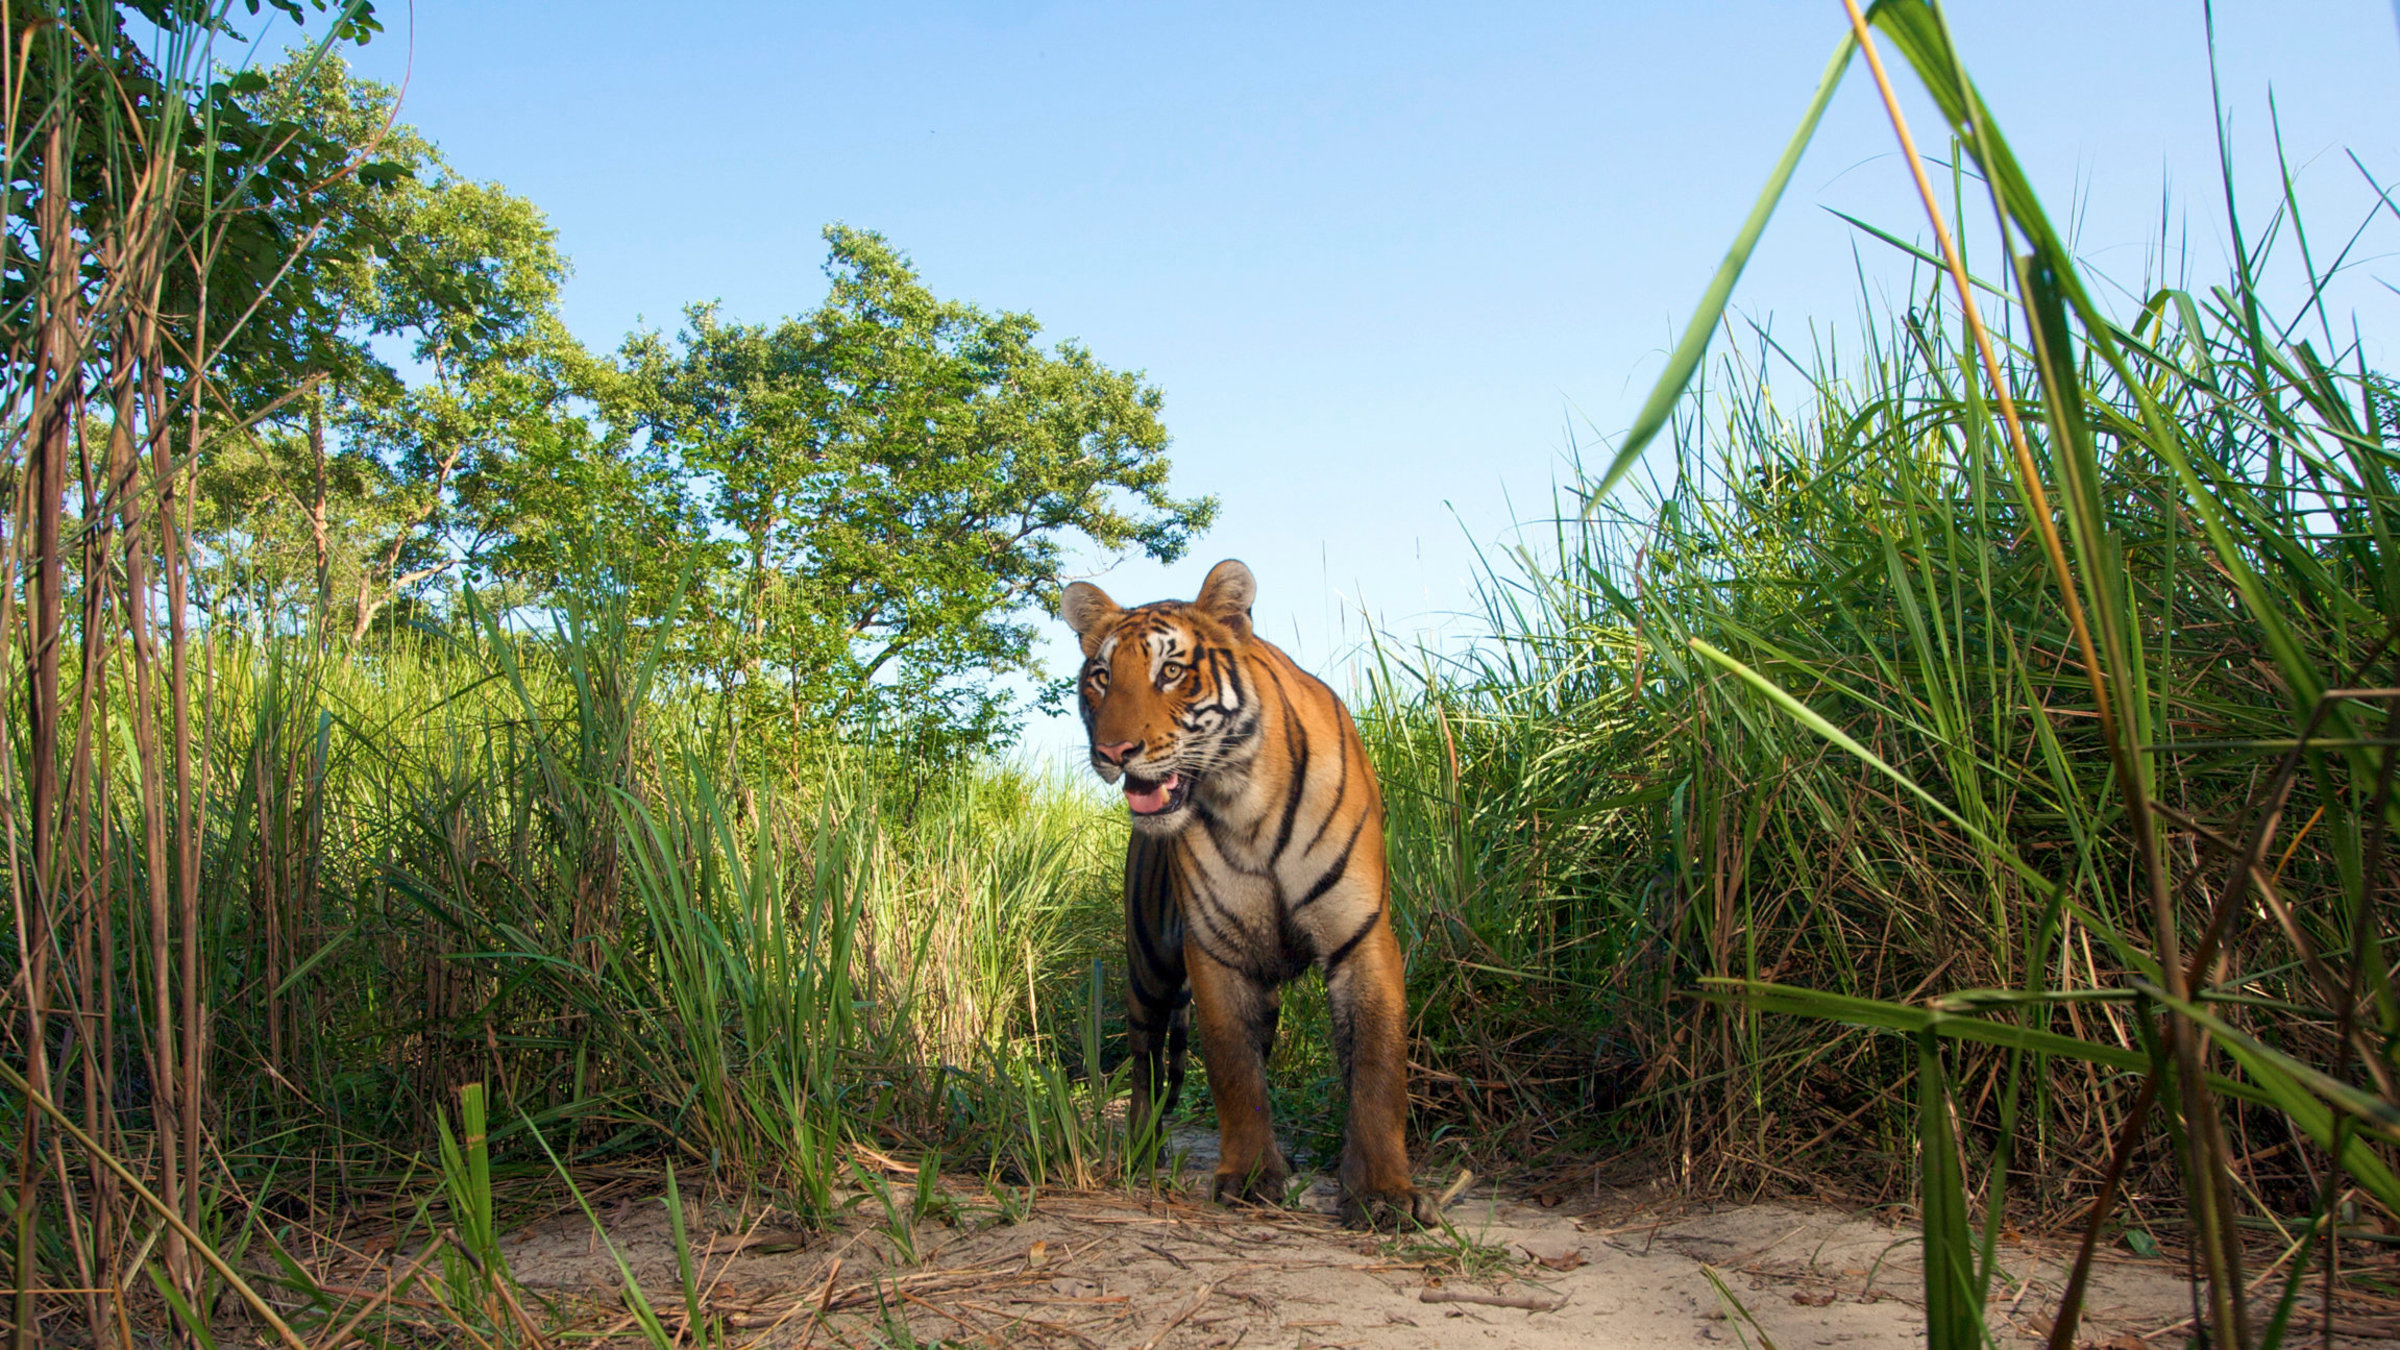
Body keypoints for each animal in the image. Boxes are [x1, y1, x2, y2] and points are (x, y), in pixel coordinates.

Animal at [1060, 552, 1430, 1225]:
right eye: (1100, 677)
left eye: (1171, 670)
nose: (1113, 751)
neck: (1244, 801)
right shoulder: (1215, 948)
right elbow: (1233, 1069)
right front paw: (1252, 1175)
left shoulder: (1360, 938)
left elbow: (1376, 1068)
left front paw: (1383, 1192)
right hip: (1148, 963)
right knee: (1146, 1060)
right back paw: (1142, 1152)